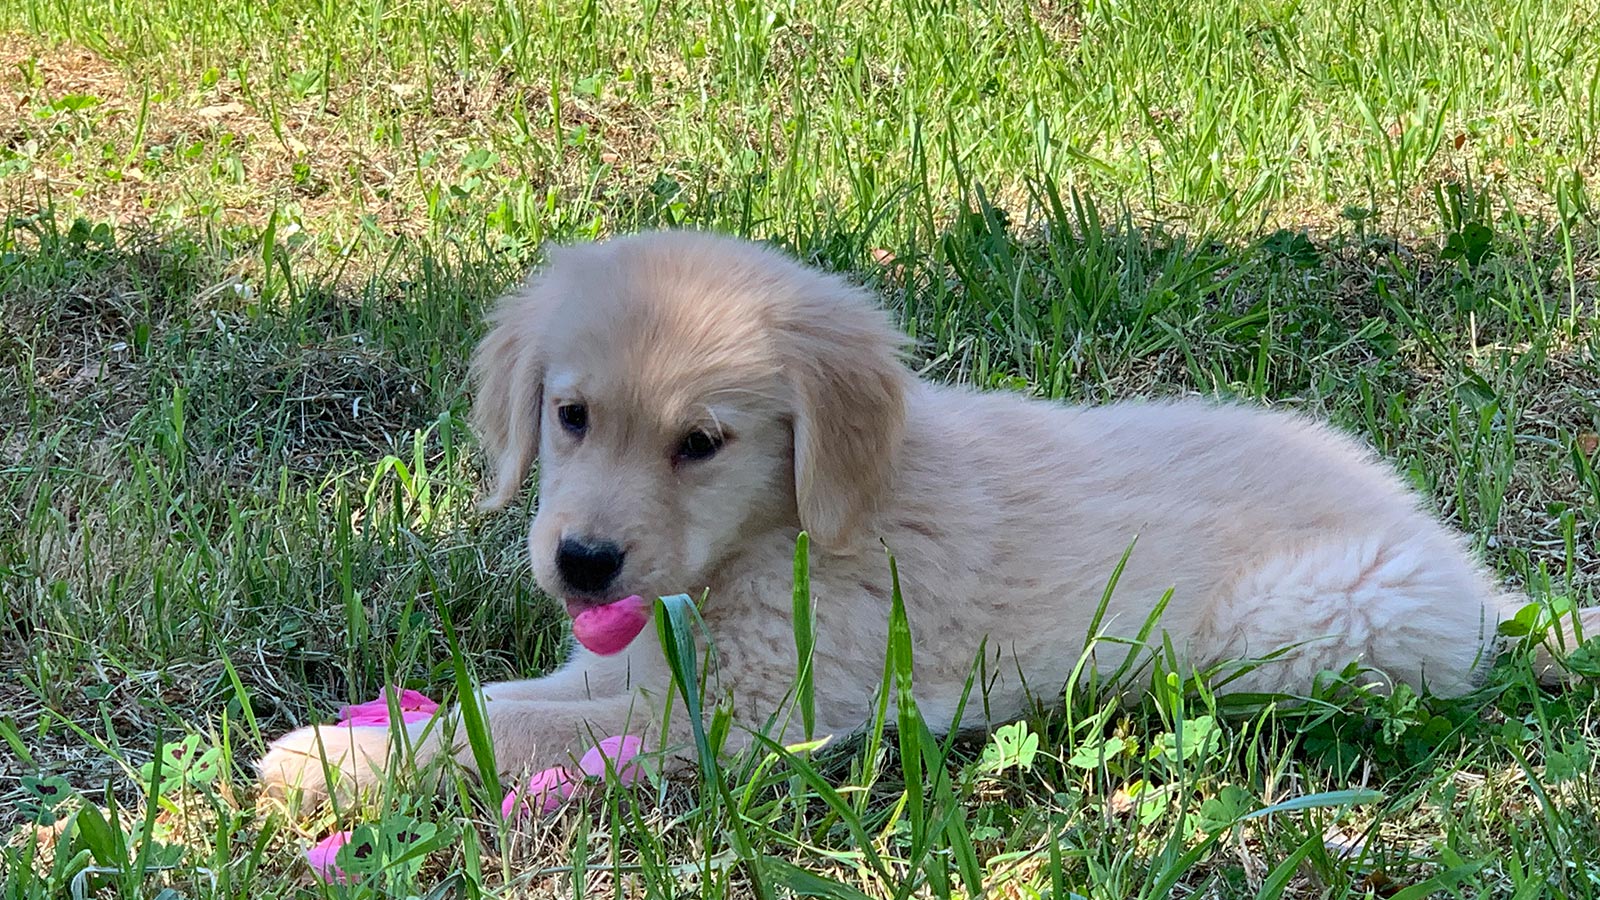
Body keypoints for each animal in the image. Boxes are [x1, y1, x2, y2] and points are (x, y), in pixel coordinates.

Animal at [259, 229, 1587, 797]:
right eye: (570, 416)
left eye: (701, 445)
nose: (582, 564)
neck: (782, 534)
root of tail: (1475, 582)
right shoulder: (643, 661)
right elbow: (508, 701)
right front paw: (360, 736)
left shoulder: (749, 713)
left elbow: (515, 734)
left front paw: (337, 762)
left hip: (1304, 622)